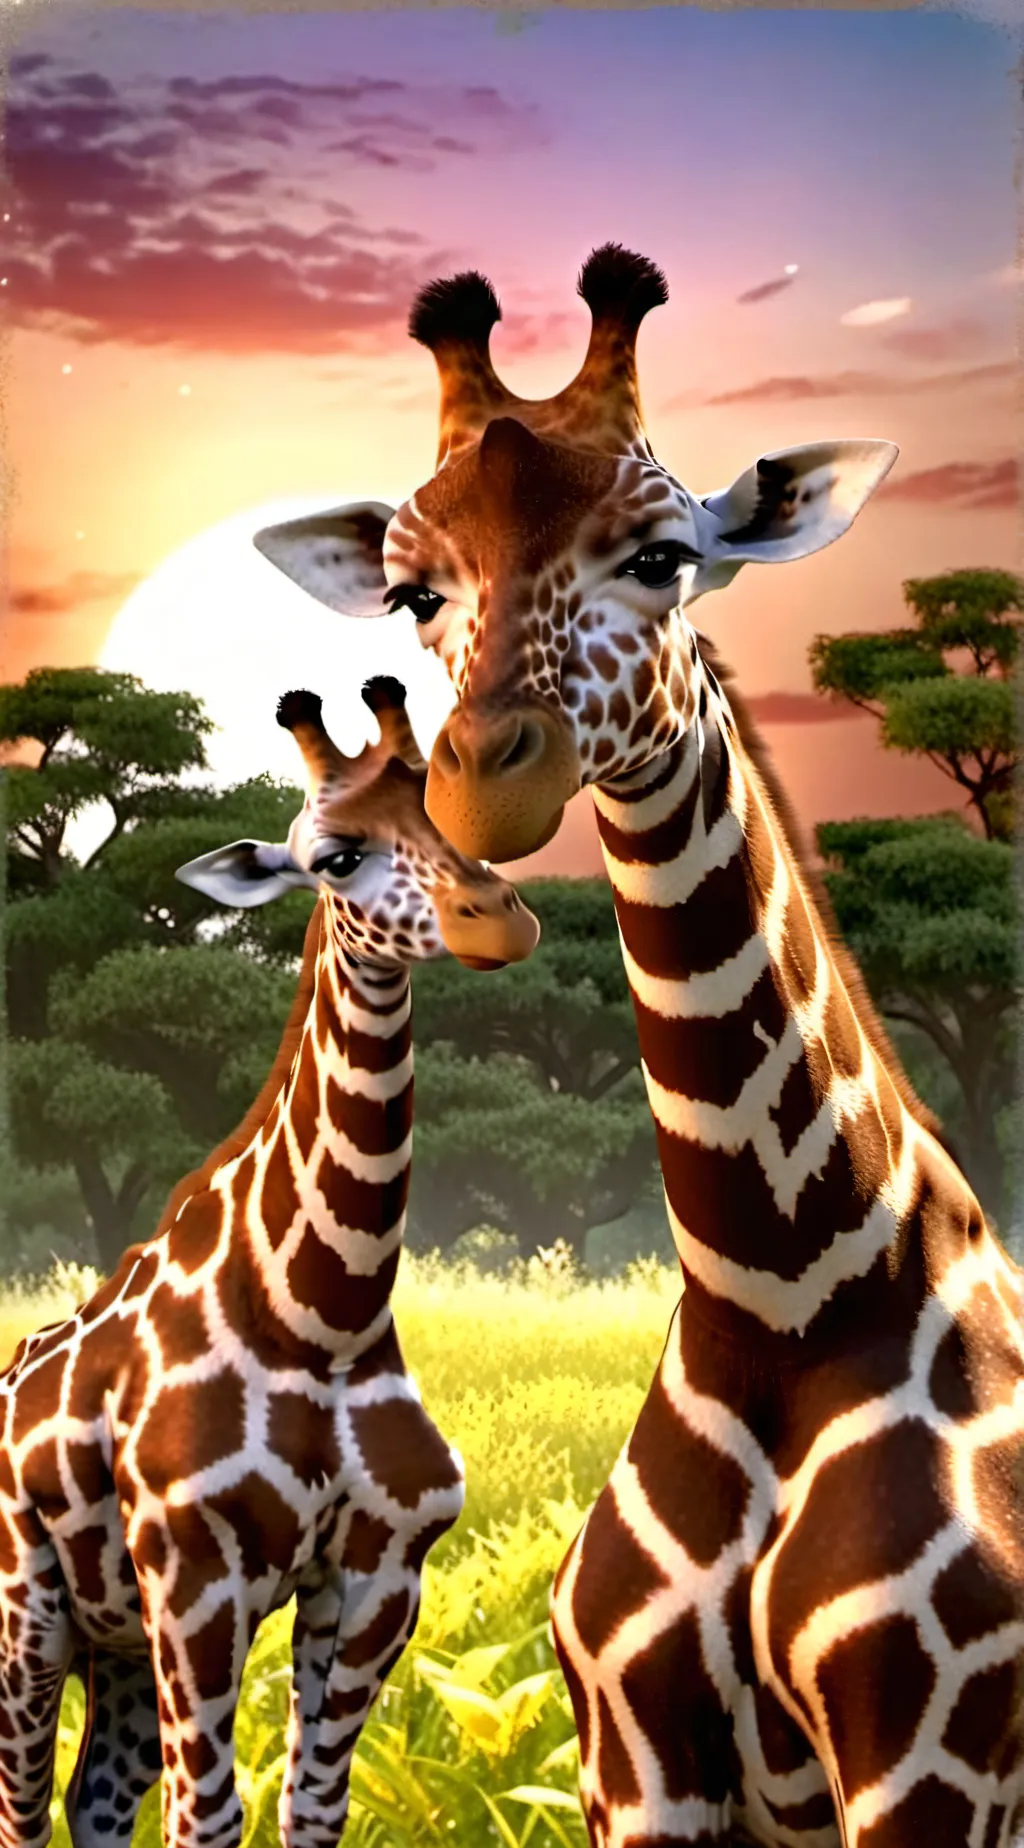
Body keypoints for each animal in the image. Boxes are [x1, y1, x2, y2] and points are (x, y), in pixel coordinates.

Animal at [0, 676, 538, 1848]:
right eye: (334, 854)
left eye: (451, 810)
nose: (502, 919)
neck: (320, 1317)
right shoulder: (195, 1576)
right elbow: (209, 1813)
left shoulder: (380, 1575)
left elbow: (309, 1806)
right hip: (28, 1607)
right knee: (21, 1806)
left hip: (110, 1638)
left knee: (93, 1799)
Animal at [251, 248, 1024, 1846]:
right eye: (414, 590)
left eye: (663, 555)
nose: (486, 784)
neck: (781, 1308)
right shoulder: (632, 1750)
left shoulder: (935, 1758)